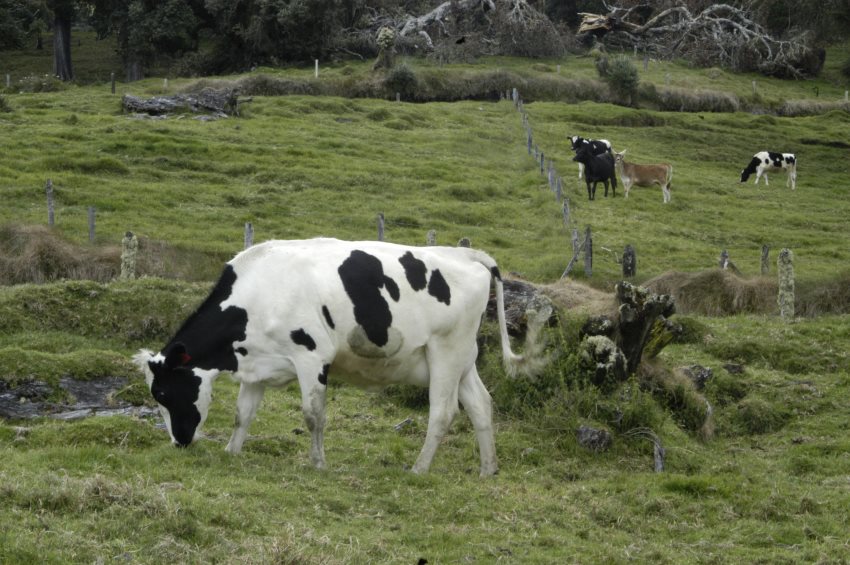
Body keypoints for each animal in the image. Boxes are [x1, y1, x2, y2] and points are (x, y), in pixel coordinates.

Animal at [137, 238, 540, 476]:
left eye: (163, 393)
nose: (179, 442)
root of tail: (466, 253)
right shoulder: (256, 364)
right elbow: (242, 414)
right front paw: (231, 451)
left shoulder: (311, 356)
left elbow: (313, 415)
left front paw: (318, 463)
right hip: (461, 359)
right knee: (480, 405)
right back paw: (488, 469)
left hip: (446, 351)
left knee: (443, 412)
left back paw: (418, 469)